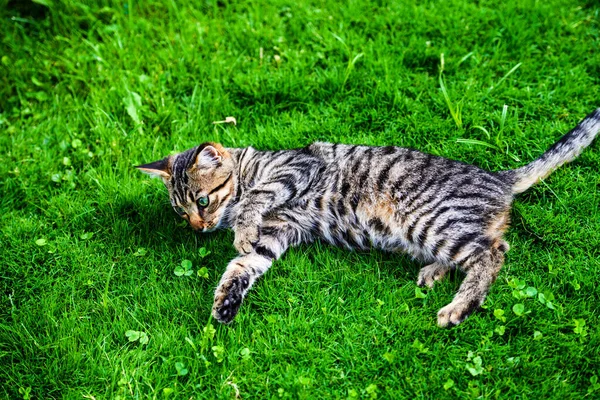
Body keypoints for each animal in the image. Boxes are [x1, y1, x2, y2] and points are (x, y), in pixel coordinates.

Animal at [136, 108, 600, 326]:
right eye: (181, 211)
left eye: (202, 201)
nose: (198, 228)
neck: (251, 164)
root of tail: (498, 179)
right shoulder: (280, 231)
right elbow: (243, 266)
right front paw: (226, 301)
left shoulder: (297, 169)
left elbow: (256, 201)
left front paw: (241, 227)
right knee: (483, 248)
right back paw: (434, 272)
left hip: (431, 220)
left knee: (493, 252)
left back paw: (458, 307)